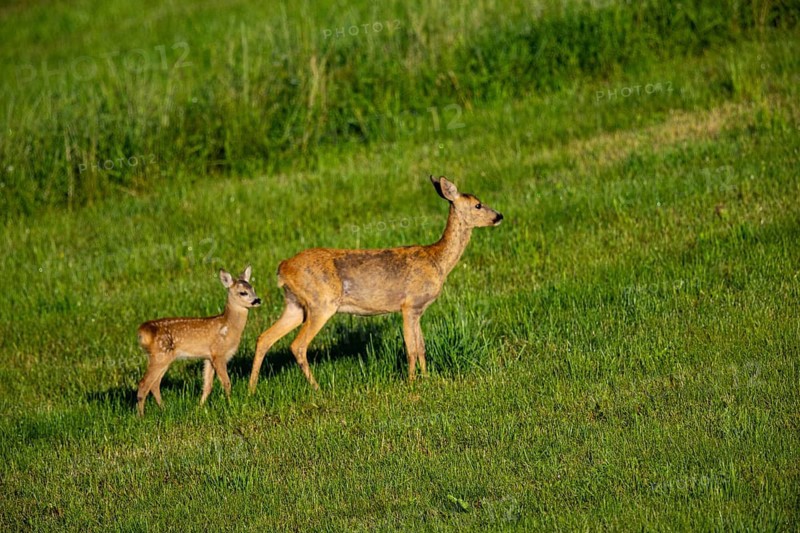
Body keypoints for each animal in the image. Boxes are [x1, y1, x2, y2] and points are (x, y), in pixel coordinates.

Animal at [136, 266, 261, 416]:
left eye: (253, 288)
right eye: (243, 292)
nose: (257, 300)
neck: (228, 327)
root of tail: (143, 332)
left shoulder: (208, 357)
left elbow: (207, 385)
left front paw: (199, 408)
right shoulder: (219, 353)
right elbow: (226, 382)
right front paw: (231, 405)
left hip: (161, 358)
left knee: (154, 384)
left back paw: (164, 409)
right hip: (160, 356)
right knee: (144, 384)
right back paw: (141, 416)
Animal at [248, 176, 503, 392]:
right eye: (478, 205)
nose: (499, 216)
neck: (437, 260)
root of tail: (283, 268)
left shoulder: (418, 309)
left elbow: (422, 347)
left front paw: (427, 378)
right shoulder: (409, 305)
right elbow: (411, 349)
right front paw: (412, 383)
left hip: (295, 305)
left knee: (264, 338)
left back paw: (251, 389)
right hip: (321, 302)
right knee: (298, 345)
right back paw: (317, 388)